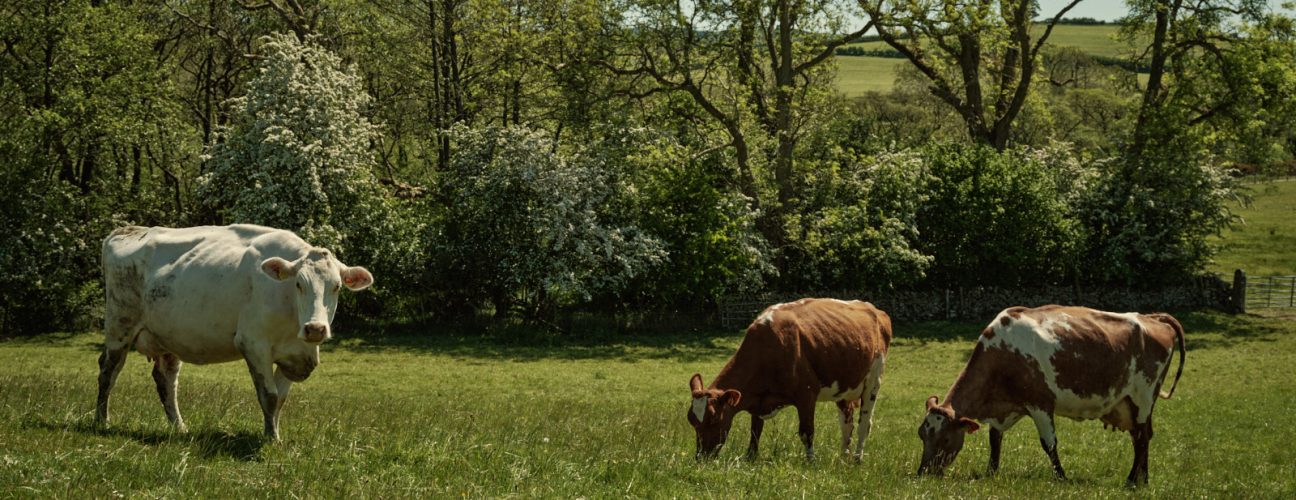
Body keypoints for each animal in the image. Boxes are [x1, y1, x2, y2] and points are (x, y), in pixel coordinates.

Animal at [97, 224, 374, 440]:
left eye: (337, 286)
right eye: (298, 284)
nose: (315, 328)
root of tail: (127, 230)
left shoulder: (295, 355)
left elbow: (281, 399)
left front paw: (274, 434)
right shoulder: (253, 343)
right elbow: (269, 396)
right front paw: (271, 439)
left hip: (169, 336)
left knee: (166, 379)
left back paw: (180, 428)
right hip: (119, 325)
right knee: (108, 371)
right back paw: (102, 421)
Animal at [688, 298, 891, 460]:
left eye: (713, 419)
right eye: (692, 421)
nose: (701, 457)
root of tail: (876, 310)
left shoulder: (807, 394)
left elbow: (807, 432)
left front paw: (811, 461)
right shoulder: (758, 400)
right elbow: (755, 431)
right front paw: (750, 457)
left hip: (873, 381)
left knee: (864, 423)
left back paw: (857, 458)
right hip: (843, 386)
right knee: (846, 423)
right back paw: (843, 458)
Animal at [916, 305, 1185, 486]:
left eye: (945, 439)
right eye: (922, 435)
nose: (923, 473)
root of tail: (1151, 318)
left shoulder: (1040, 405)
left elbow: (1049, 444)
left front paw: (1062, 477)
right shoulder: (1008, 408)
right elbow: (995, 439)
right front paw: (991, 473)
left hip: (1143, 396)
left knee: (1141, 438)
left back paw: (1132, 480)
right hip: (1132, 404)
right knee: (1143, 436)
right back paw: (1142, 478)